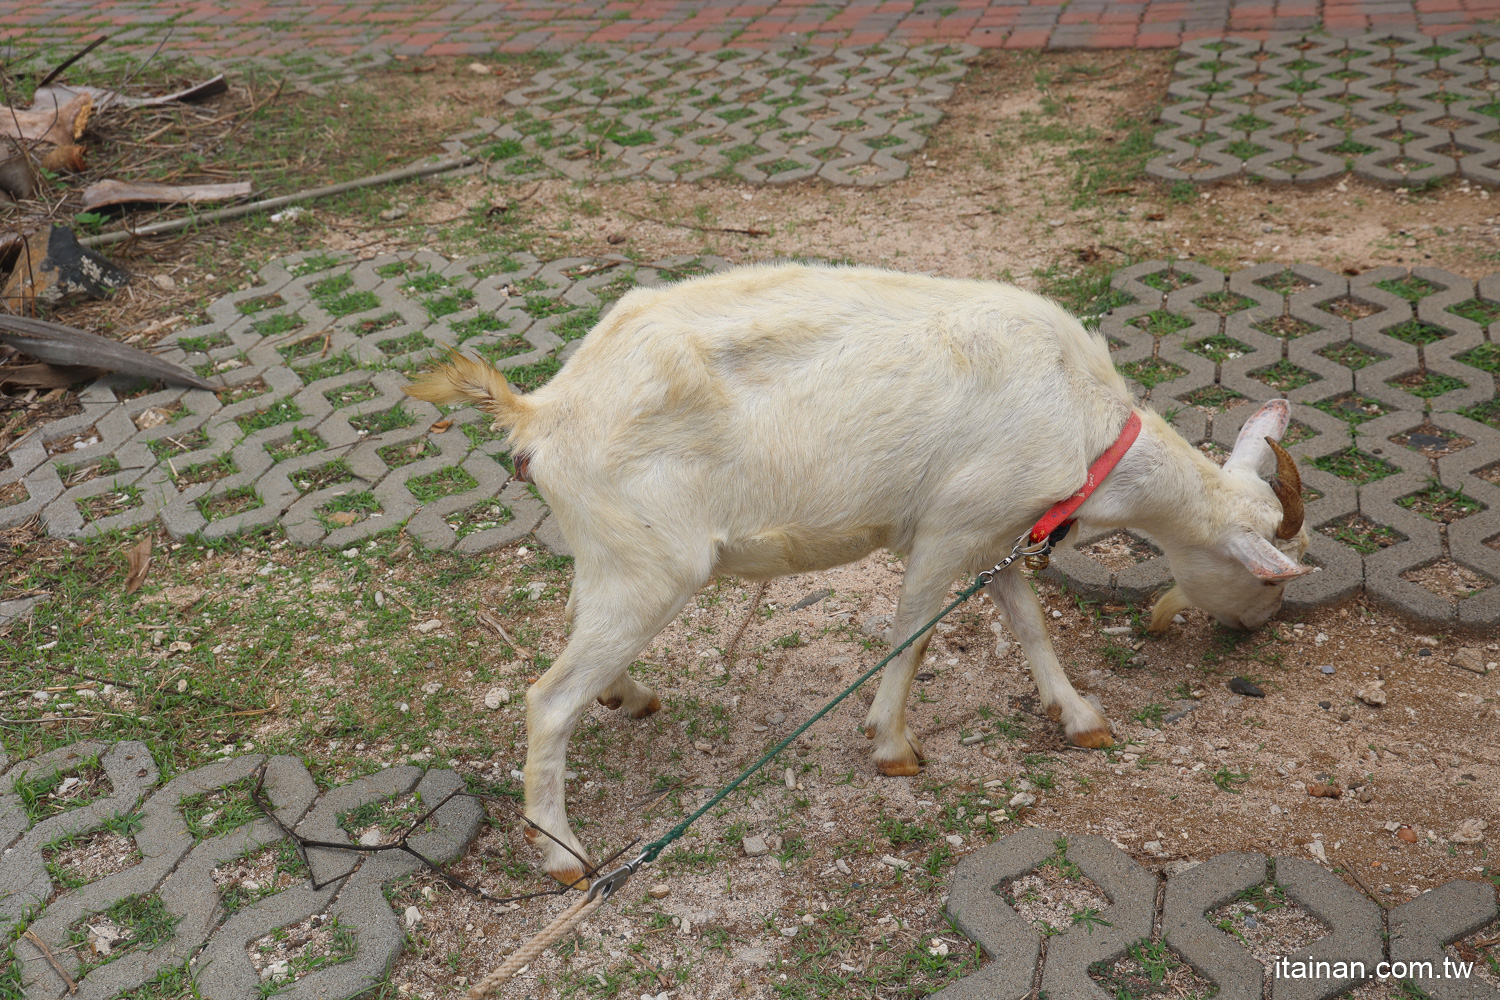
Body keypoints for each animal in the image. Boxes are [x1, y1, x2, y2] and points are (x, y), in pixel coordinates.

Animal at [411, 263, 1314, 881]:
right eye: (1270, 576)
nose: (1252, 631)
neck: (1083, 423)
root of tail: (540, 413)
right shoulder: (951, 528)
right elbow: (914, 635)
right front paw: (893, 747)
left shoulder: (997, 529)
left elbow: (1029, 623)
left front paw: (1080, 716)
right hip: (654, 561)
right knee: (547, 698)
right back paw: (565, 853)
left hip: (613, 555)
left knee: (582, 636)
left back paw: (627, 696)